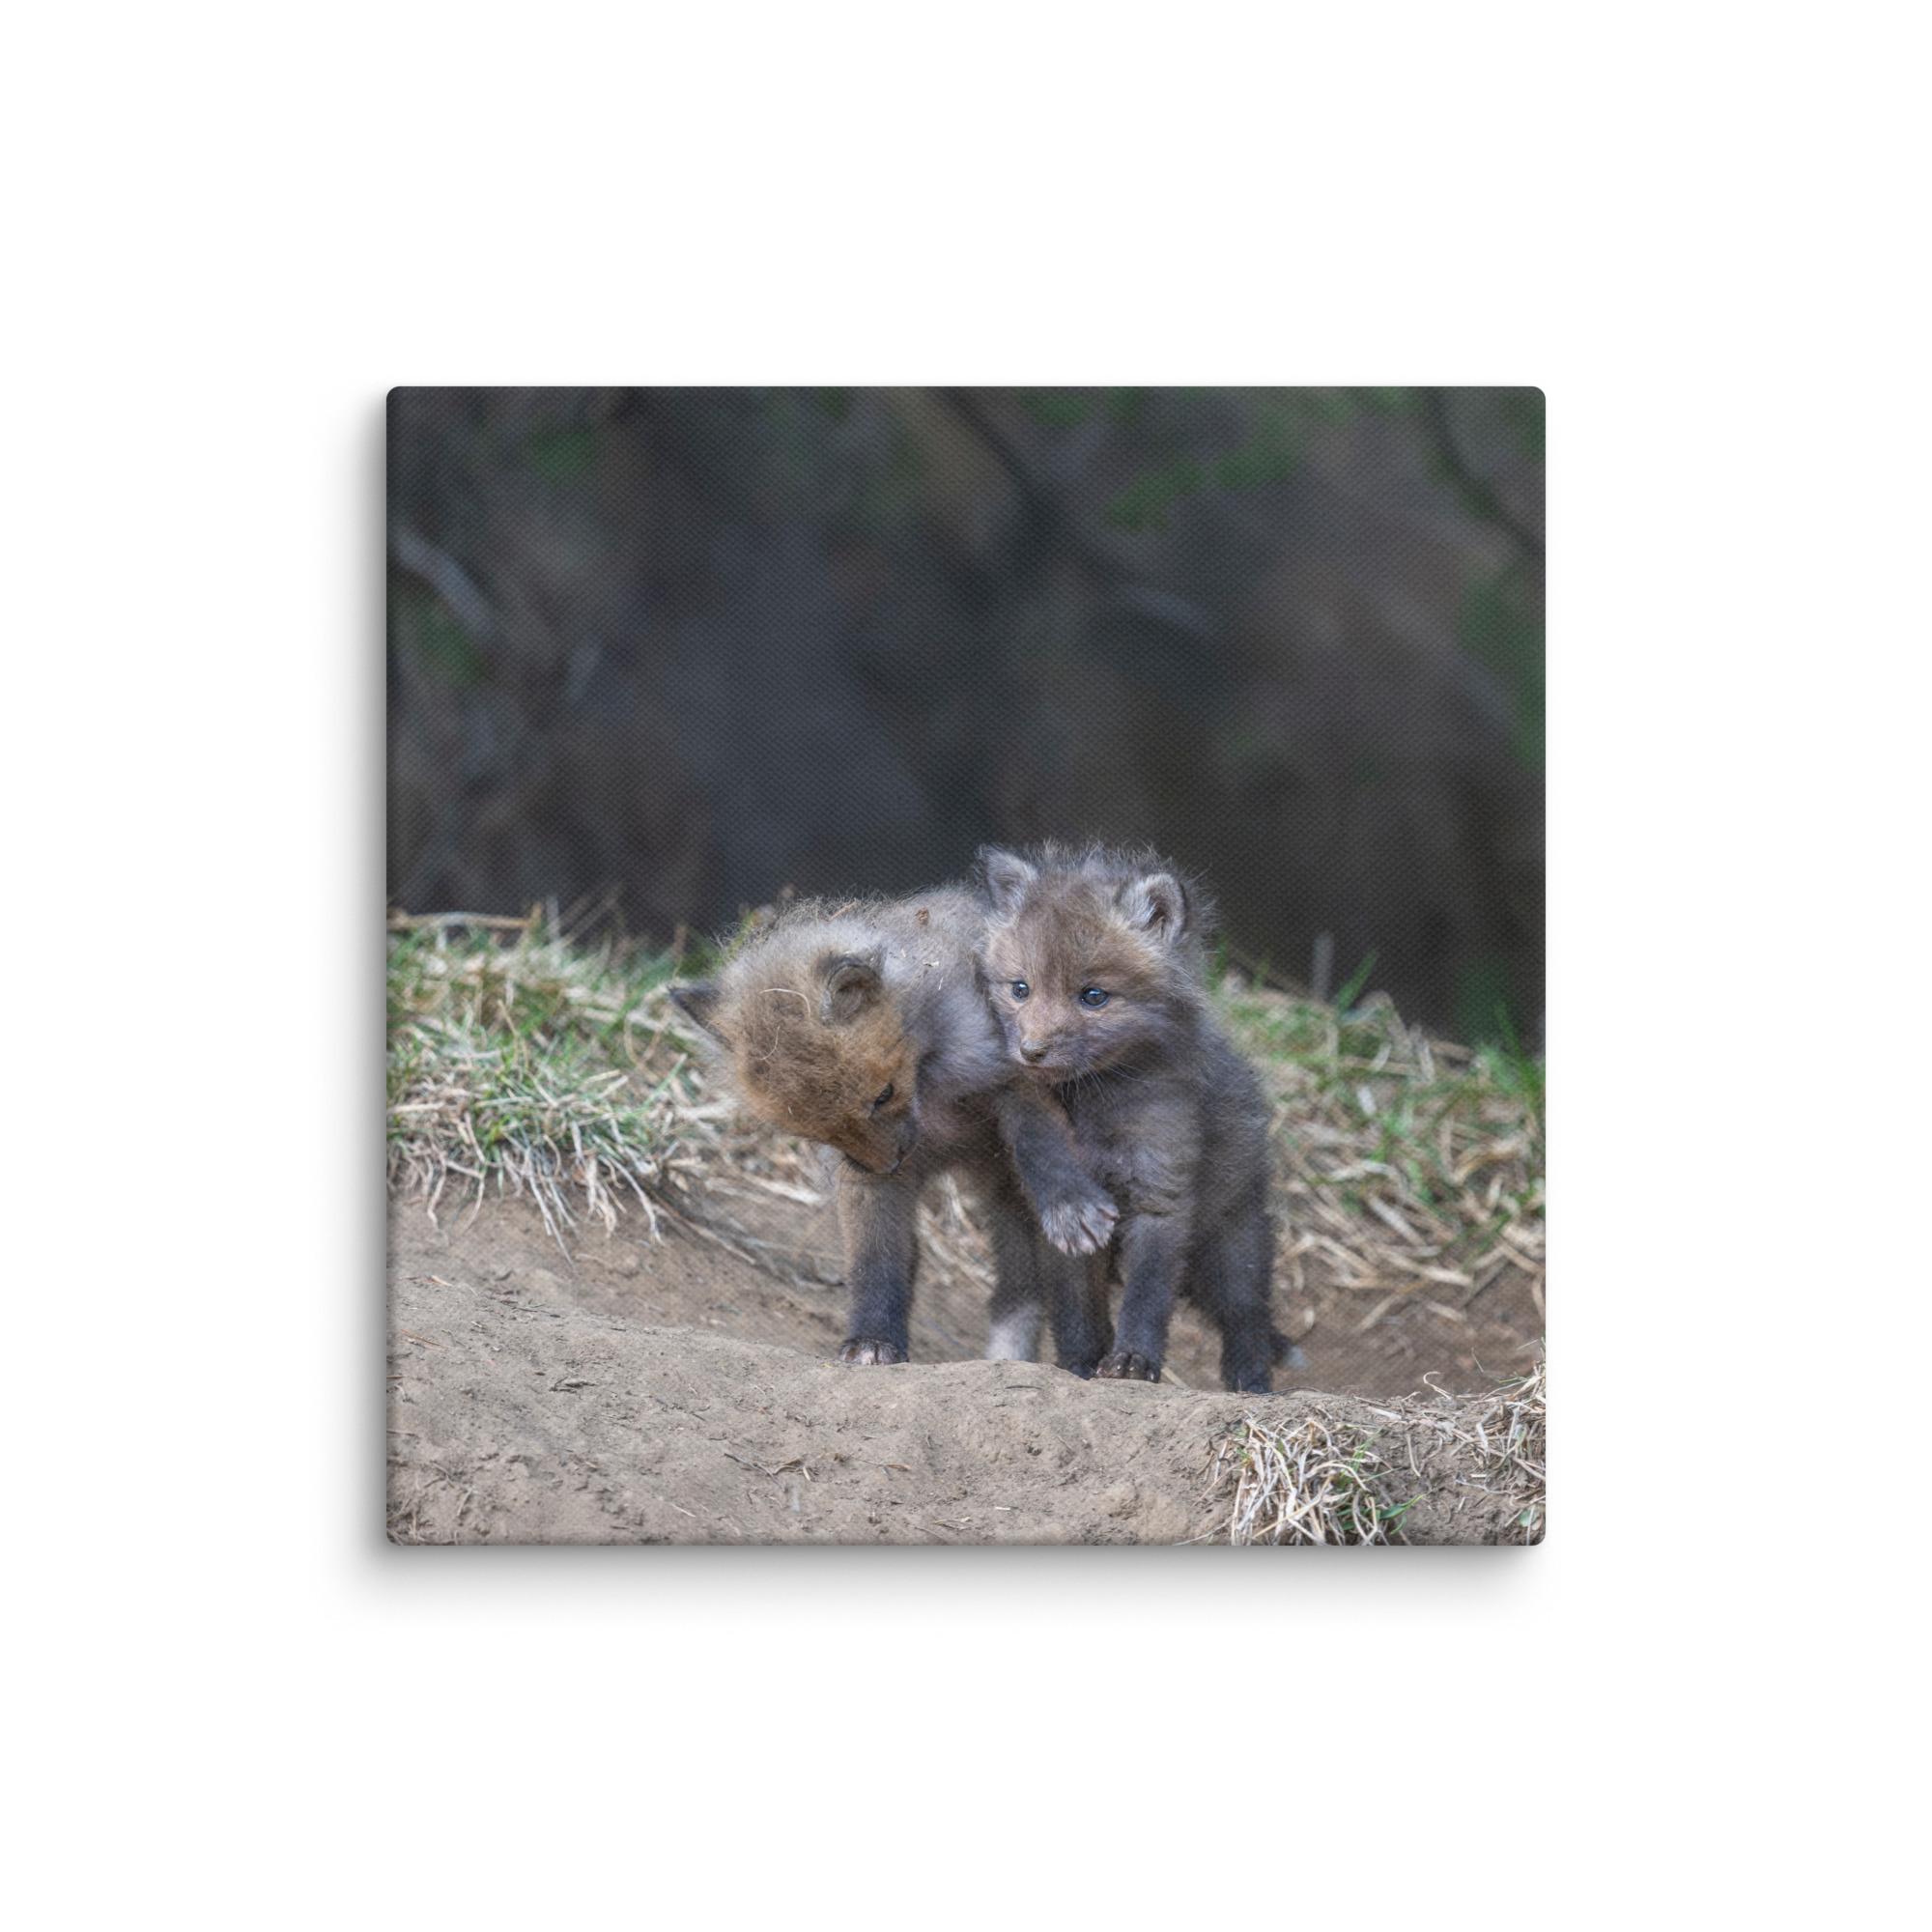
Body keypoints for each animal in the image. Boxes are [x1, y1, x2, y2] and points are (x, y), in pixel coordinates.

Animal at [668, 887, 1117, 1368]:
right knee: (1015, 1290)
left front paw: (1069, 1204)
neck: (931, 1091)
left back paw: (1085, 1363)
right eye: (816, 1132)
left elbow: (1041, 1144)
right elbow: (875, 1261)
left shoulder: (1015, 1075)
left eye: (883, 1095)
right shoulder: (861, 1178)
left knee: (1070, 1293)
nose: (888, 1165)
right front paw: (873, 1339)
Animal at [973, 843, 1286, 1393]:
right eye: (1020, 989)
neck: (1094, 1107)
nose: (1030, 1052)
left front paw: (1133, 1362)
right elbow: (1076, 1306)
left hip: (1233, 1245)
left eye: (1093, 996)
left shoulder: (1160, 1194)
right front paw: (1079, 1365)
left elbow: (1148, 1295)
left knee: (1248, 1317)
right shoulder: (1067, 1220)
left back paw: (1252, 1386)